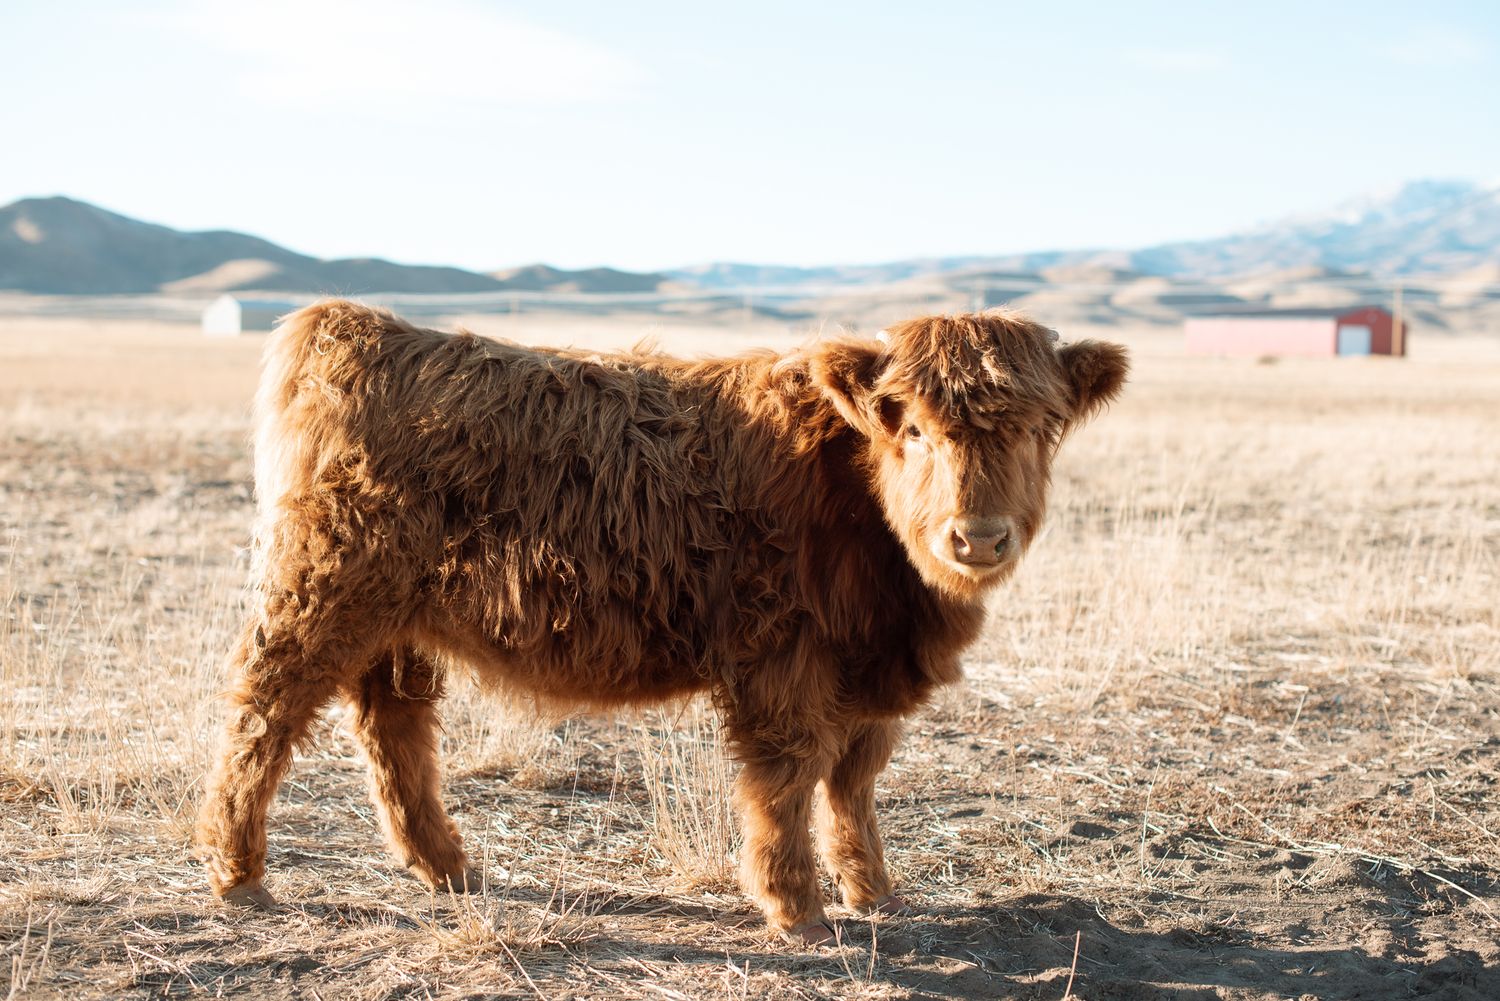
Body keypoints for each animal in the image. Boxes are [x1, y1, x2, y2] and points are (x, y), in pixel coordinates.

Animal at [195, 300, 1128, 943]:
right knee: (263, 713)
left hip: (396, 618)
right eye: (916, 430)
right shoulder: (781, 658)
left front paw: (874, 891)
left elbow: (854, 779)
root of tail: (358, 324)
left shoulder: (866, 670)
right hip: (318, 595)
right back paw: (238, 872)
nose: (979, 536)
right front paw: (796, 905)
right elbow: (789, 776)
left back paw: (451, 869)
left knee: (394, 726)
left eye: (1038, 428)